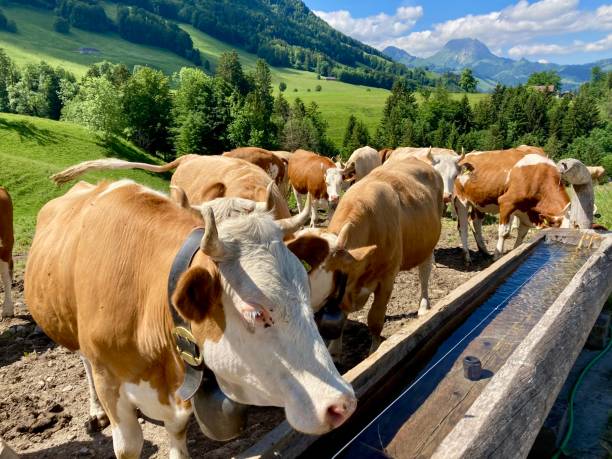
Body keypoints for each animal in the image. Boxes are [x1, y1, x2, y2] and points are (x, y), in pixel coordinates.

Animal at [26, 180, 356, 459]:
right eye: (255, 311)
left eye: (306, 289)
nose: (342, 403)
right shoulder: (109, 379)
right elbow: (128, 446)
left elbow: (177, 430)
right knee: (83, 362)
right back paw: (95, 412)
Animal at [284, 157, 442, 360]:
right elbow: (342, 317)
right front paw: (334, 350)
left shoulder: (387, 279)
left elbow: (374, 320)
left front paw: (375, 352)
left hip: (428, 245)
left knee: (424, 274)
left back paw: (423, 306)